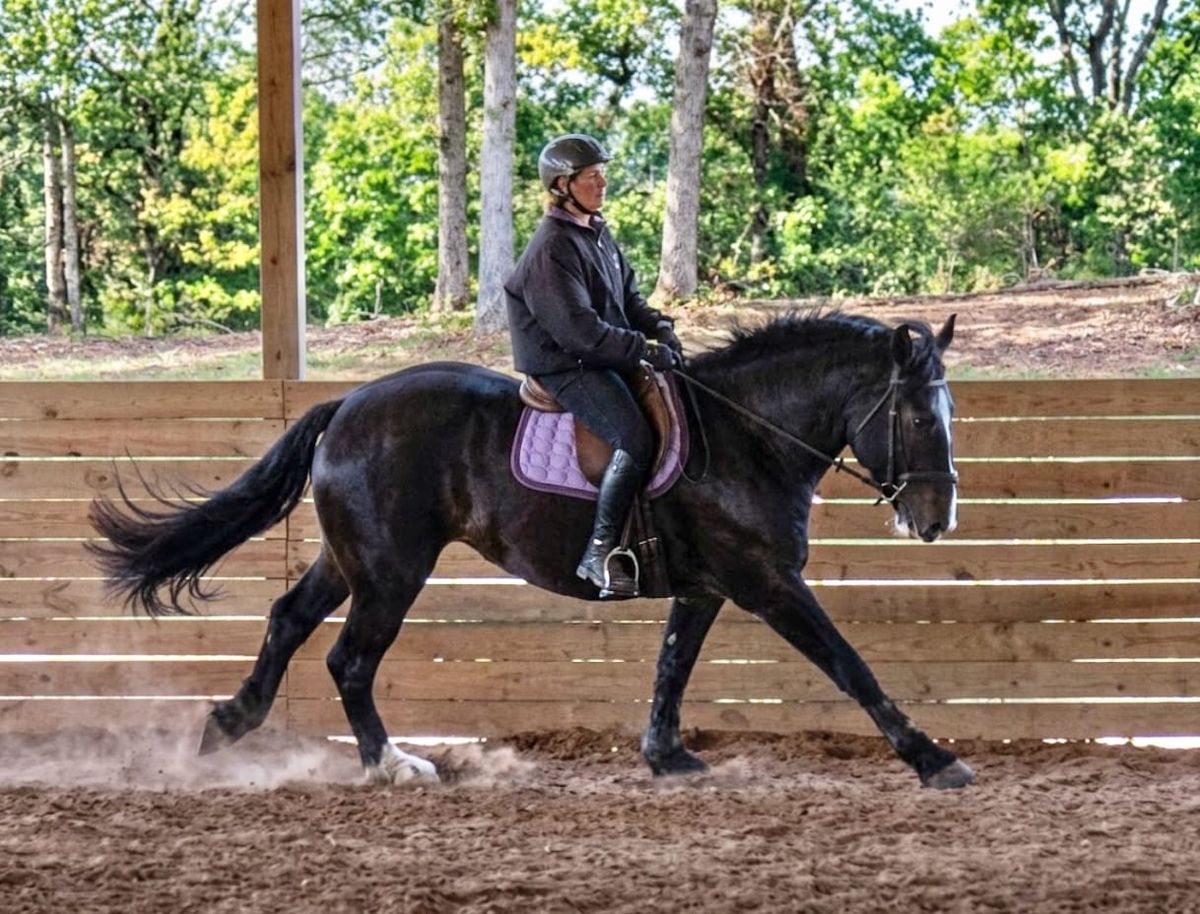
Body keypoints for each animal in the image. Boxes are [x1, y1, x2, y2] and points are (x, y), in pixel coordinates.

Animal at [88, 311, 974, 790]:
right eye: (917, 417)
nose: (936, 519)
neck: (746, 434)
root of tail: (346, 404)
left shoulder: (706, 587)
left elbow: (672, 668)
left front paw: (665, 757)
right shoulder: (768, 583)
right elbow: (851, 666)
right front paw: (932, 759)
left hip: (351, 561)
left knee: (286, 620)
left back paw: (228, 727)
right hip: (391, 571)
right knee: (349, 659)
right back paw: (390, 764)